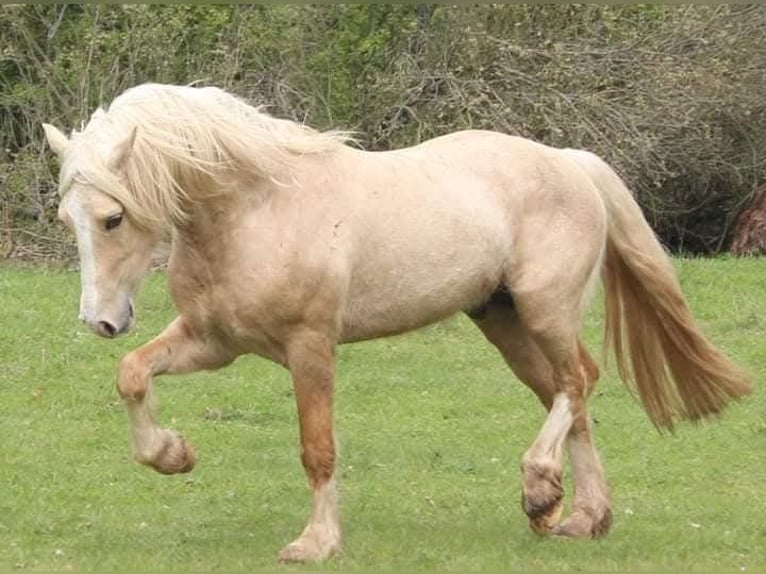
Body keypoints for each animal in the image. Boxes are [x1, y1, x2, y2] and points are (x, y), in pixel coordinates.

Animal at [42, 83, 752, 564]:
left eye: (112, 218)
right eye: (66, 219)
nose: (100, 320)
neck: (257, 208)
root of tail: (569, 160)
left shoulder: (309, 346)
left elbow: (318, 447)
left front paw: (316, 543)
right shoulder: (213, 342)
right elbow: (132, 374)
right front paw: (172, 454)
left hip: (544, 309)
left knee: (578, 381)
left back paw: (540, 490)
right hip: (504, 321)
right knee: (569, 394)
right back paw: (580, 516)